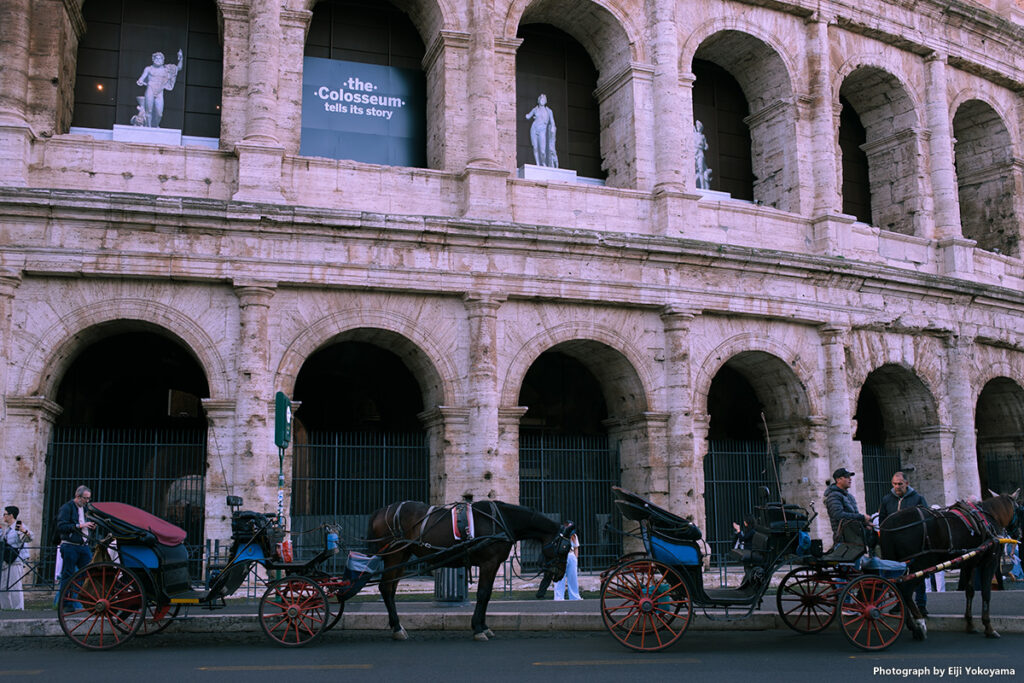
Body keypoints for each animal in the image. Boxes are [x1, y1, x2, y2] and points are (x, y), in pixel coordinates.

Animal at [368, 501, 577, 643]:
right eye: (565, 547)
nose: (559, 574)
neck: (503, 521)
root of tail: (380, 511)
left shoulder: (494, 564)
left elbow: (487, 594)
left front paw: (484, 626)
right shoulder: (488, 563)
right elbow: (483, 593)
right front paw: (478, 629)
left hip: (402, 556)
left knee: (391, 589)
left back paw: (397, 626)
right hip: (394, 555)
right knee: (386, 588)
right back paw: (397, 627)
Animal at [876, 491, 1019, 643]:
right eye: (1020, 509)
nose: (1018, 533)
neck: (990, 516)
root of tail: (888, 525)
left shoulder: (969, 564)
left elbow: (970, 592)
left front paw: (970, 624)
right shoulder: (990, 562)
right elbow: (986, 593)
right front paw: (989, 628)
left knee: (898, 589)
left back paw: (911, 624)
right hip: (921, 563)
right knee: (905, 590)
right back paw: (919, 625)